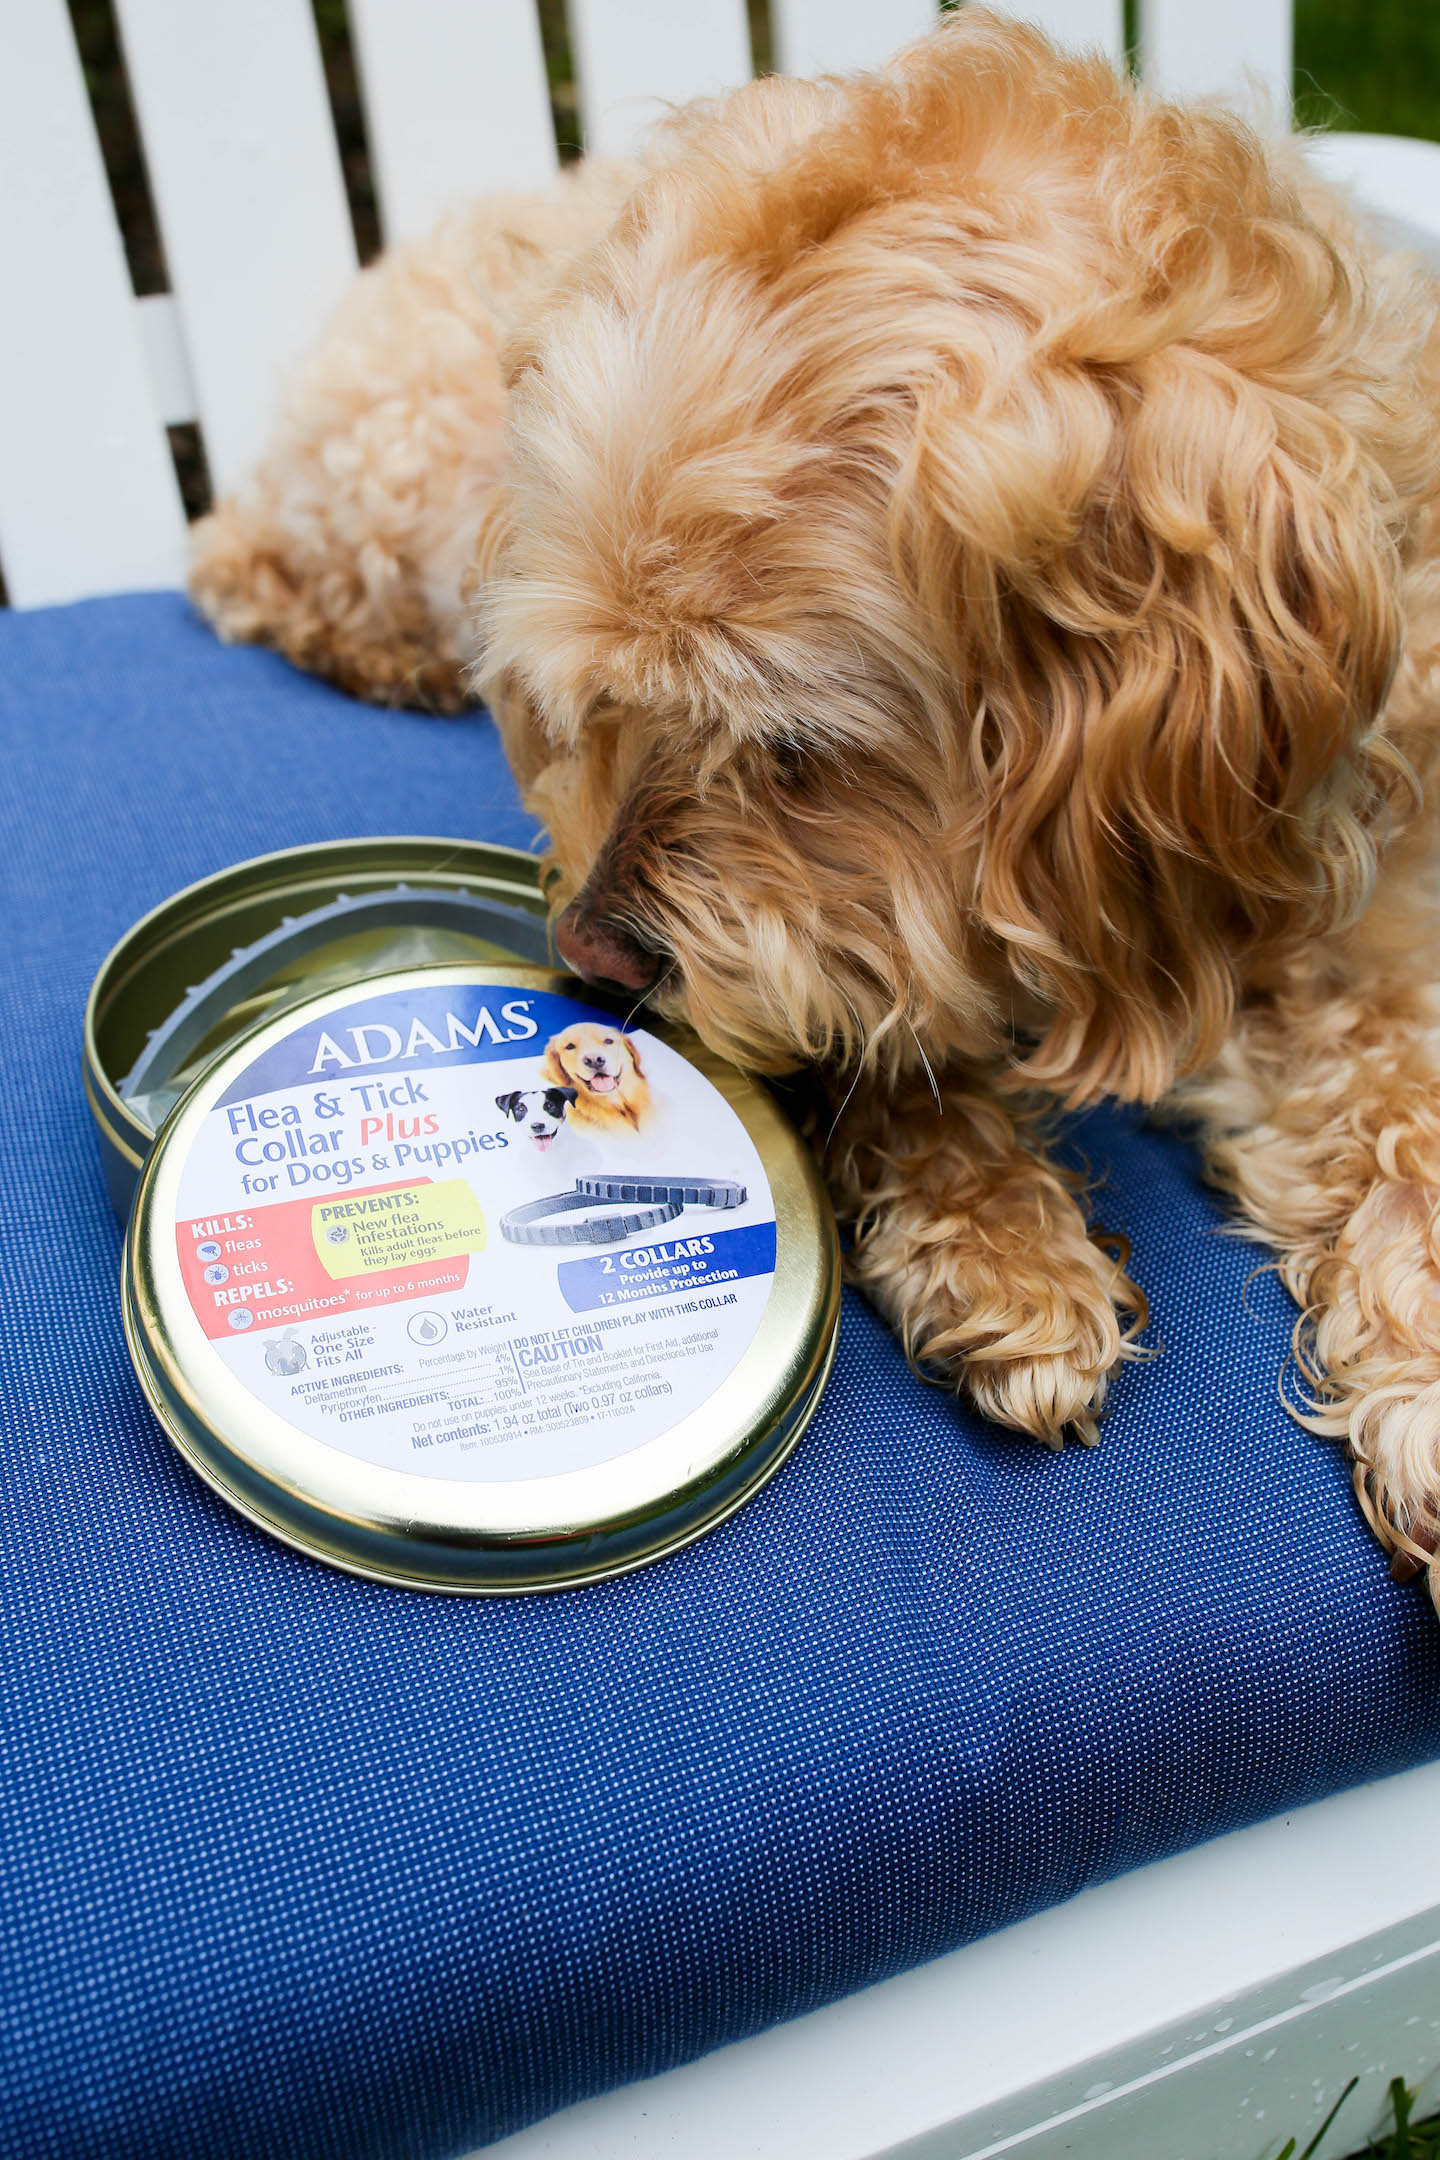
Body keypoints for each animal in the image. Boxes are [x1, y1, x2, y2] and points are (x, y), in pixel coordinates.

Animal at [190, 12, 1440, 1592]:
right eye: (597, 705)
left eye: (792, 744)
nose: (587, 957)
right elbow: (879, 1042)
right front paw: (1000, 1243)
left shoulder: (1359, 917)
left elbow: (1404, 1110)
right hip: (388, 481)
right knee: (240, 561)